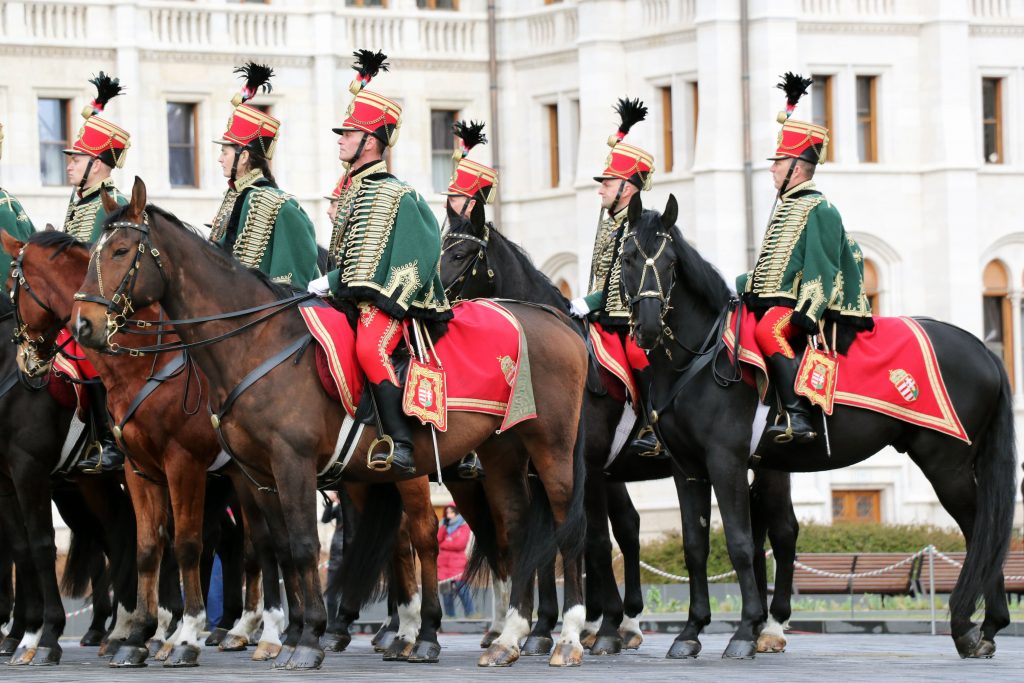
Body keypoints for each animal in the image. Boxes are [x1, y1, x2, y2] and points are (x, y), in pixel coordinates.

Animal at [3, 228, 292, 667]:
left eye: (11, 286)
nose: (29, 364)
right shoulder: (130, 468)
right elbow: (146, 544)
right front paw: (145, 632)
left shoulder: (32, 467)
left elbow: (41, 544)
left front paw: (43, 636)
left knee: (262, 540)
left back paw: (268, 630)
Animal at [70, 178, 585, 671]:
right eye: (93, 251)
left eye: (120, 251)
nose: (83, 325)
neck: (256, 343)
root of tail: (554, 318)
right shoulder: (243, 475)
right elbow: (258, 548)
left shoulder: (263, 463)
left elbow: (284, 546)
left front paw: (300, 638)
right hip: (500, 453)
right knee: (514, 529)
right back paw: (506, 637)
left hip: (548, 449)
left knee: (560, 526)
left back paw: (561, 637)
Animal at [440, 209, 798, 655]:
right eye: (441, 248)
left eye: (461, 253)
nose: (434, 302)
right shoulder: (545, 472)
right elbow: (555, 544)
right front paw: (548, 627)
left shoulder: (586, 468)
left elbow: (592, 541)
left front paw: (594, 626)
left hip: (765, 465)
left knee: (782, 530)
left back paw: (770, 626)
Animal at [614, 191, 1015, 655]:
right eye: (627, 257)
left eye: (671, 262)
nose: (645, 327)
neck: (698, 357)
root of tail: (981, 348)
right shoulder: (687, 468)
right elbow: (695, 546)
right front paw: (691, 630)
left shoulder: (726, 461)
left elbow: (740, 541)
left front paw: (745, 629)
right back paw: (987, 626)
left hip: (946, 463)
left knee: (980, 529)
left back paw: (972, 628)